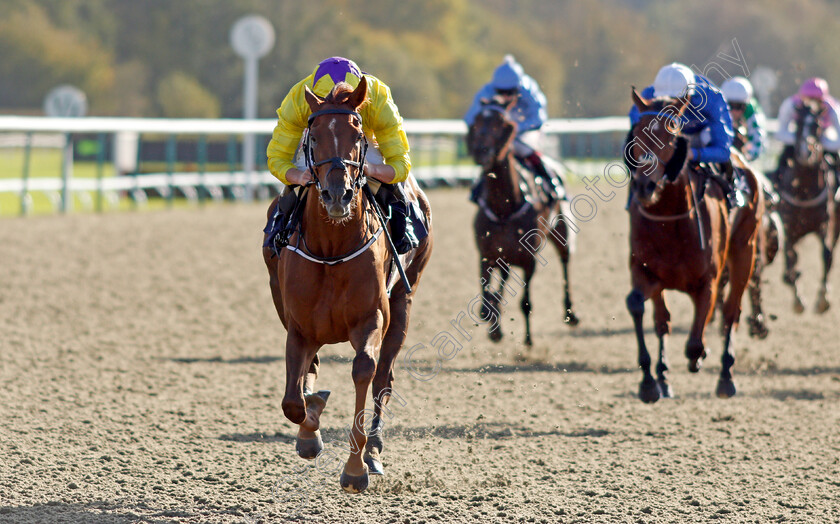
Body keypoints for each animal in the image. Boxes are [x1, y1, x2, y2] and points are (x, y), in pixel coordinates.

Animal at [262, 77, 434, 492]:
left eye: (358, 134)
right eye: (313, 135)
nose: (337, 193)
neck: (332, 247)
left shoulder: (371, 318)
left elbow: (363, 370)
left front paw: (356, 467)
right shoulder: (299, 325)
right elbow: (293, 400)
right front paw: (310, 430)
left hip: (404, 301)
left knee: (383, 379)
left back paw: (373, 451)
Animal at [466, 96, 576, 350]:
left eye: (504, 123)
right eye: (476, 121)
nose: (481, 150)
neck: (504, 207)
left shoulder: (529, 259)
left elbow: (525, 303)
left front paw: (527, 339)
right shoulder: (486, 254)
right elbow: (486, 299)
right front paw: (494, 324)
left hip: (561, 232)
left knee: (565, 263)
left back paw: (570, 313)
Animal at [628, 90, 764, 404]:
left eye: (671, 133)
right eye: (638, 133)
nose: (644, 187)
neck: (669, 221)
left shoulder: (708, 281)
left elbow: (694, 343)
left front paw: (699, 357)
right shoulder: (645, 272)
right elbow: (641, 308)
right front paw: (650, 381)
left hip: (745, 250)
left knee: (731, 312)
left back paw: (726, 376)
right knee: (663, 320)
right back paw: (664, 377)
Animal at [776, 101, 840, 316]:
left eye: (818, 125)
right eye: (797, 125)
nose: (807, 152)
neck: (803, 190)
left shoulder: (825, 224)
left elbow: (827, 255)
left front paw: (823, 299)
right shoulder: (789, 229)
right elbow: (791, 259)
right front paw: (798, 300)